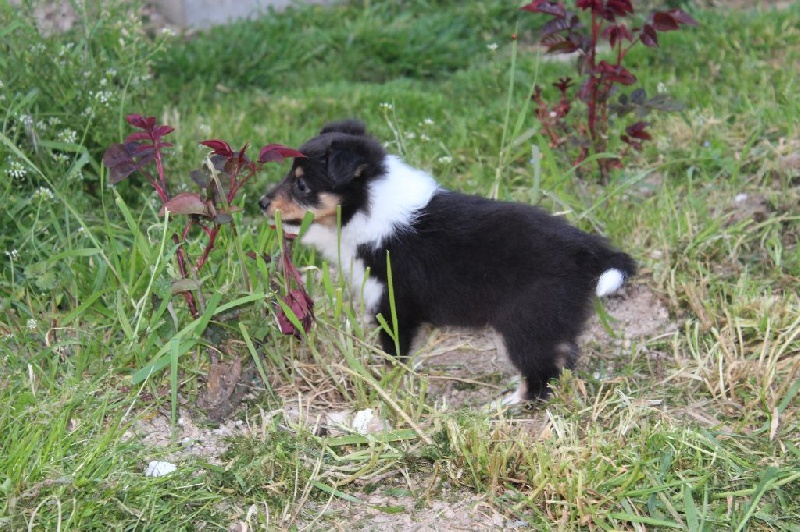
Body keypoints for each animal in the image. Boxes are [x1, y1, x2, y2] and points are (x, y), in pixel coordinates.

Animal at [259, 120, 636, 403]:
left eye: (302, 186)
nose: (261, 203)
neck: (372, 201)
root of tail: (589, 248)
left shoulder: (392, 303)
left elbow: (394, 353)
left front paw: (388, 384)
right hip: (552, 319)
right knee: (563, 360)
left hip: (525, 322)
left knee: (540, 376)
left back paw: (505, 404)